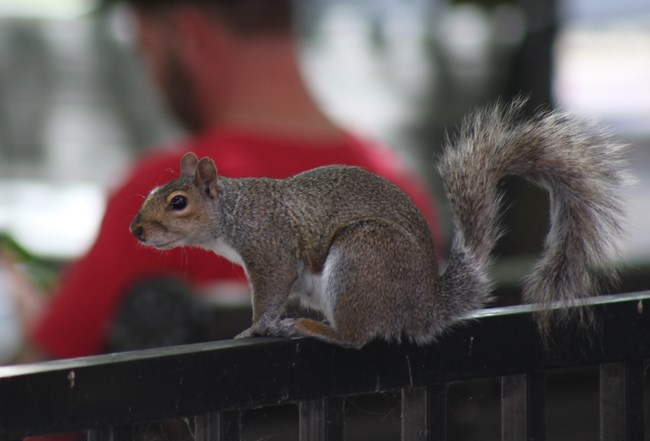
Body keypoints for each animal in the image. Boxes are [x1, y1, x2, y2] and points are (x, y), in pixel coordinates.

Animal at [130, 100, 629, 348]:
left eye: (178, 202)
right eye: (151, 194)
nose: (136, 231)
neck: (234, 211)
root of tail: (423, 307)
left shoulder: (269, 247)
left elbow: (270, 292)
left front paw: (255, 328)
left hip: (362, 256)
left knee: (356, 338)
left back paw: (312, 329)